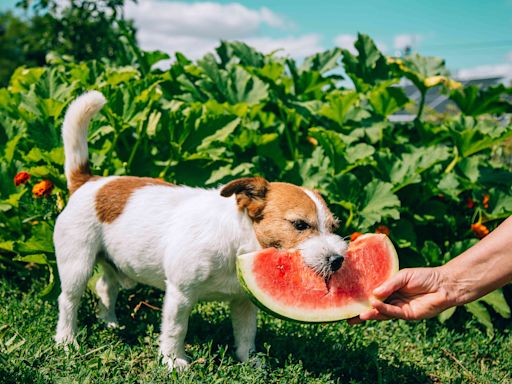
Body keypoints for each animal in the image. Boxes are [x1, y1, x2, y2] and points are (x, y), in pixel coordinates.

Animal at [54, 90, 346, 368]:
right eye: (300, 225)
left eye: (334, 226)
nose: (338, 260)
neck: (237, 244)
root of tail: (87, 181)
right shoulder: (180, 295)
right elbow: (176, 329)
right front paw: (173, 361)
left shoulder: (244, 302)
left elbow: (246, 333)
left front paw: (249, 360)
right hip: (77, 264)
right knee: (68, 300)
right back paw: (67, 340)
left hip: (114, 261)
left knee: (105, 286)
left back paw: (110, 322)